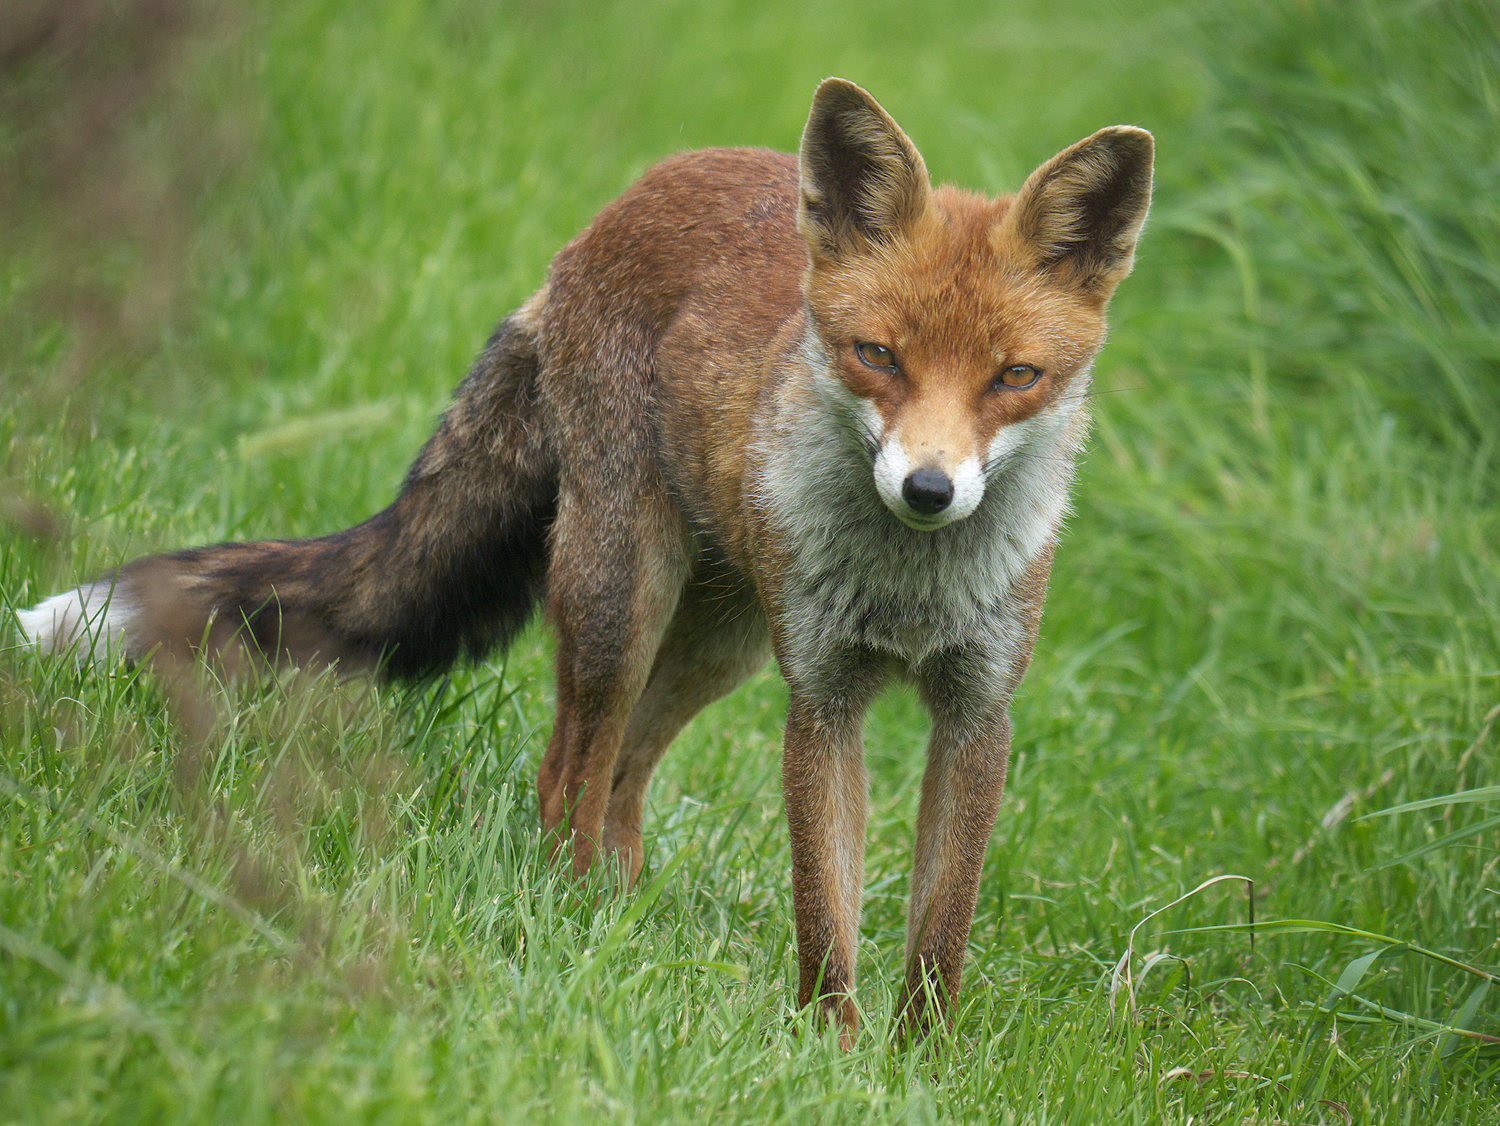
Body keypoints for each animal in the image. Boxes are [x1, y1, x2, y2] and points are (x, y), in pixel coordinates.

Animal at [17, 79, 1152, 1043]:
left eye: (1014, 376)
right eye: (878, 356)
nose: (926, 489)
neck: (910, 589)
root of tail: (612, 212)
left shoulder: (977, 708)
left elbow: (938, 933)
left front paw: (917, 1063)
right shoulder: (823, 701)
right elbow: (827, 917)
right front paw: (831, 1053)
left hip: (721, 642)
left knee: (623, 784)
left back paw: (621, 915)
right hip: (624, 598)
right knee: (568, 771)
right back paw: (569, 920)